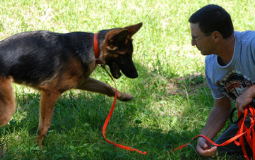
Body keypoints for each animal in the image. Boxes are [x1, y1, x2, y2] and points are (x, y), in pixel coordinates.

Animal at [0, 22, 143, 146]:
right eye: (124, 55)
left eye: (130, 54)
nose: (136, 75)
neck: (94, 48)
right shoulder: (50, 92)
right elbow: (44, 126)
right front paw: (38, 148)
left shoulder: (81, 81)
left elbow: (106, 86)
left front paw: (124, 96)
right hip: (9, 108)